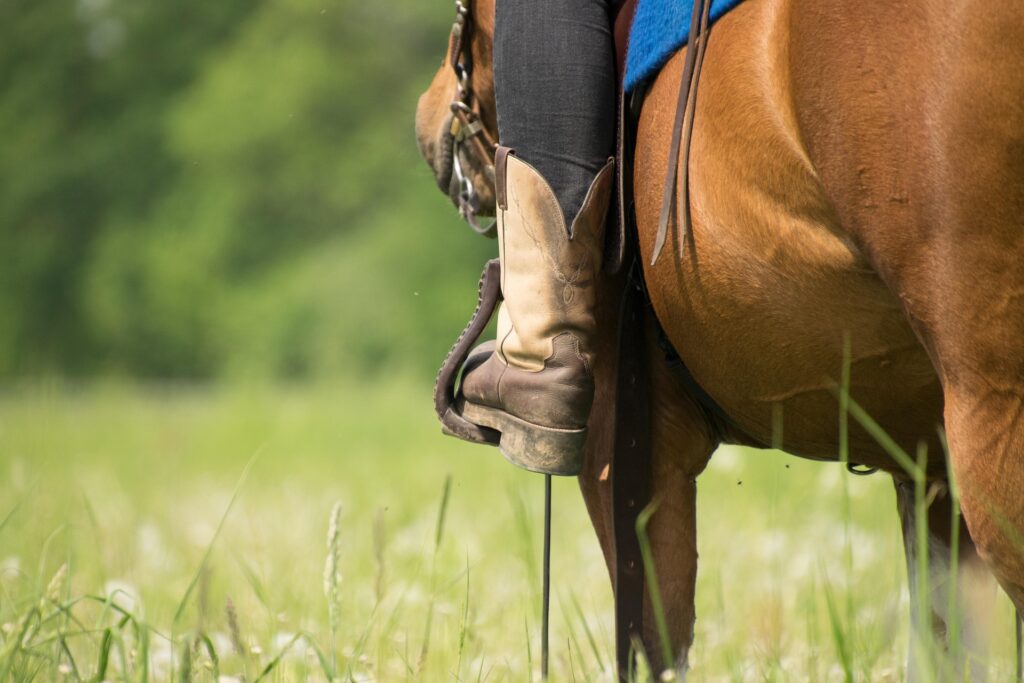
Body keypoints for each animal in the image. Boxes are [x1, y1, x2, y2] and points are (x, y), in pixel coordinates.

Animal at [415, 0, 1024, 676]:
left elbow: (654, 643)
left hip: (995, 413)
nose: (429, 120)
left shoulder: (627, 447)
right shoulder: (927, 466)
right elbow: (946, 638)